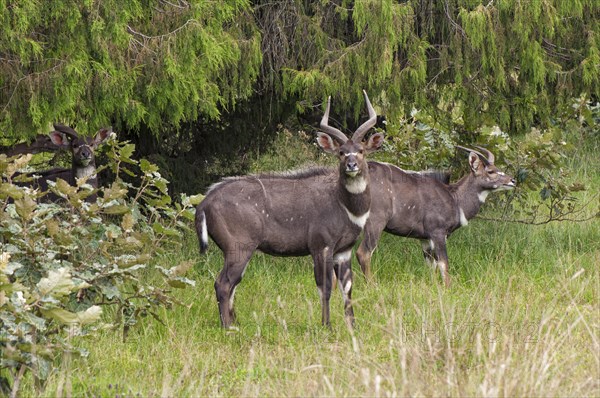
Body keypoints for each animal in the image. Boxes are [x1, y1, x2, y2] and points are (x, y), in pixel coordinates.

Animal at [197, 91, 384, 328]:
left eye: (361, 151)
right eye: (341, 153)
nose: (352, 165)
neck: (345, 206)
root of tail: (205, 202)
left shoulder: (344, 250)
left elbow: (347, 288)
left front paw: (352, 326)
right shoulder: (321, 246)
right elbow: (325, 287)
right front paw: (327, 326)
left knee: (232, 284)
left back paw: (235, 323)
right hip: (239, 247)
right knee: (223, 283)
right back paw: (228, 328)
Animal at [356, 146, 516, 286]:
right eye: (491, 171)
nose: (512, 180)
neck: (455, 198)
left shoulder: (425, 239)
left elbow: (431, 266)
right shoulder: (438, 233)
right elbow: (444, 264)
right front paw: (448, 288)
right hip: (376, 223)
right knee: (363, 253)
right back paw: (372, 286)